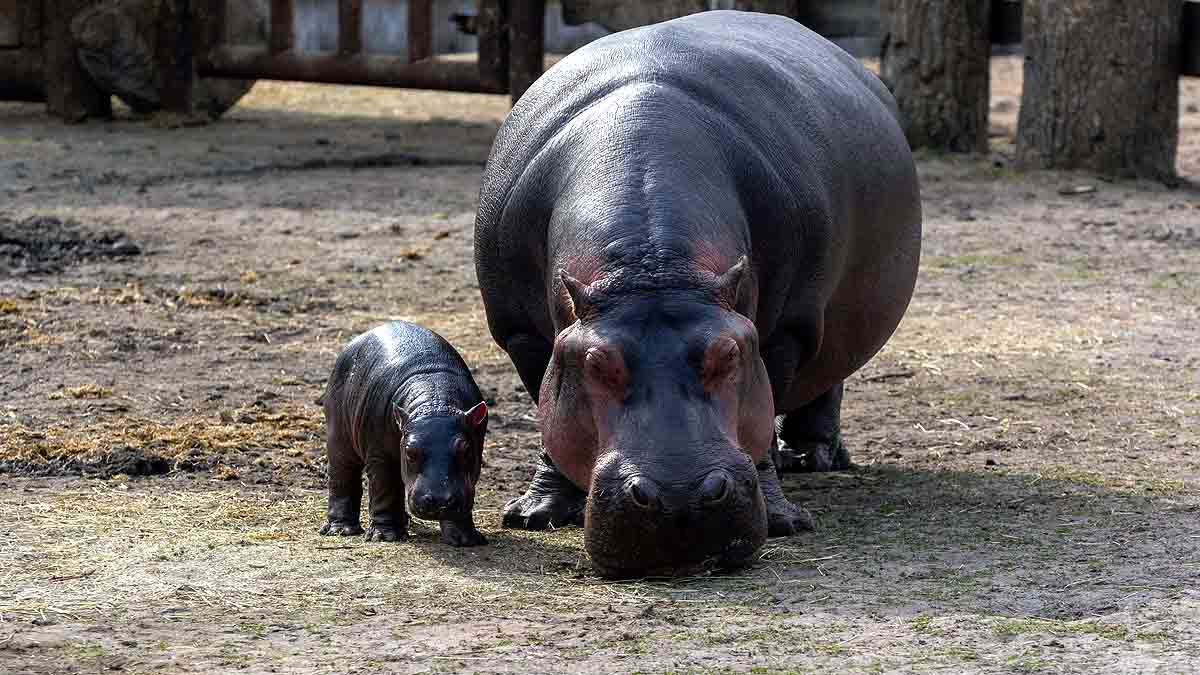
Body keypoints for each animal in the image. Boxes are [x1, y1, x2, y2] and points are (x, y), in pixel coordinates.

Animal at [318, 321, 489, 547]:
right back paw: (341, 530)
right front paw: (386, 536)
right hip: (339, 436)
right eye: (409, 451)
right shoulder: (380, 454)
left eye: (466, 449)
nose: (438, 500)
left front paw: (465, 539)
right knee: (342, 475)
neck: (435, 401)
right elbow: (385, 489)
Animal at [474, 11, 921, 576]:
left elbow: (765, 410)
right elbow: (547, 411)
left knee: (828, 378)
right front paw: (536, 514)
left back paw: (812, 458)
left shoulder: (785, 332)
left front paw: (784, 521)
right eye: (595, 363)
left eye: (728, 354)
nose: (678, 498)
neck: (652, 270)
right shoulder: (523, 335)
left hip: (828, 317)